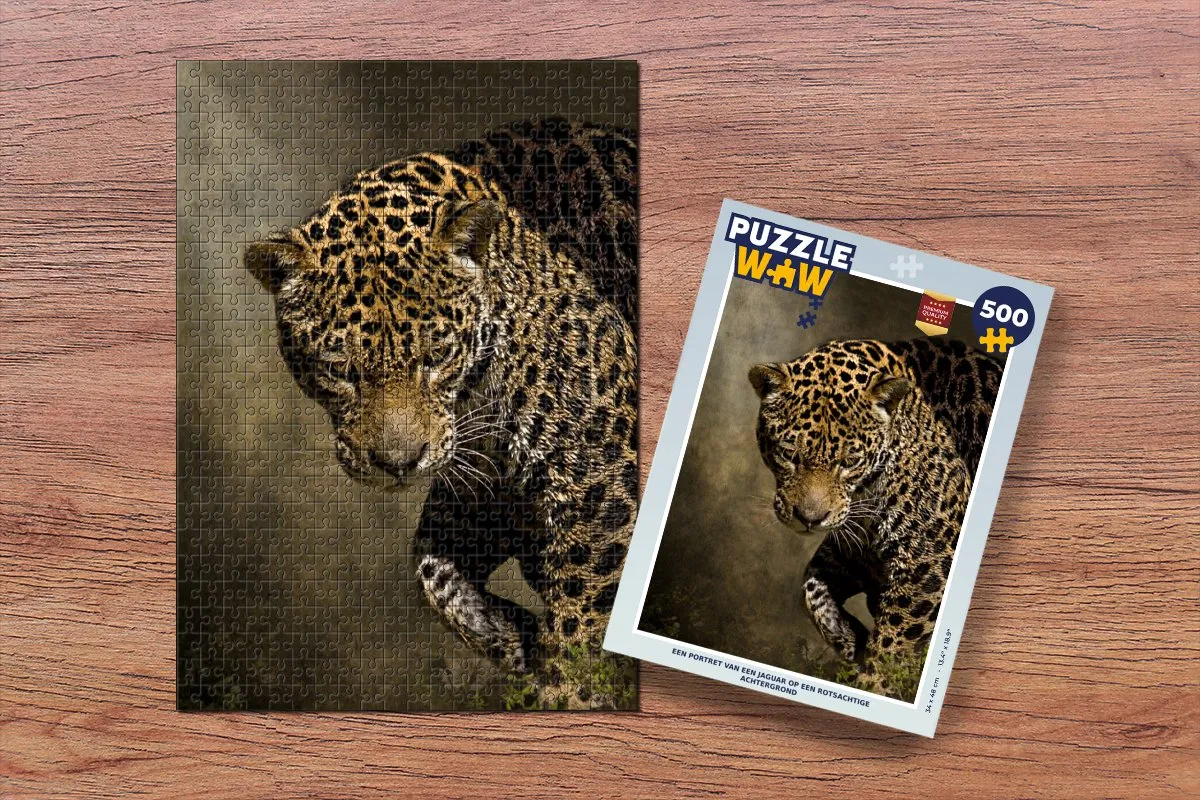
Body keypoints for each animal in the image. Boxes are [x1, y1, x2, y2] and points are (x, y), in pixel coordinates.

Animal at [244, 119, 639, 709]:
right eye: (340, 368)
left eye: (436, 355)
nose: (398, 464)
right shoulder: (481, 490)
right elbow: (432, 572)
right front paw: (520, 637)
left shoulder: (601, 484)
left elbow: (580, 625)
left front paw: (567, 692)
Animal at [749, 338, 1001, 701]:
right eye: (788, 454)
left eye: (849, 461)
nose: (810, 519)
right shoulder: (849, 557)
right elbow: (811, 590)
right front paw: (852, 639)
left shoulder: (928, 566)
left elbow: (892, 644)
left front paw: (872, 684)